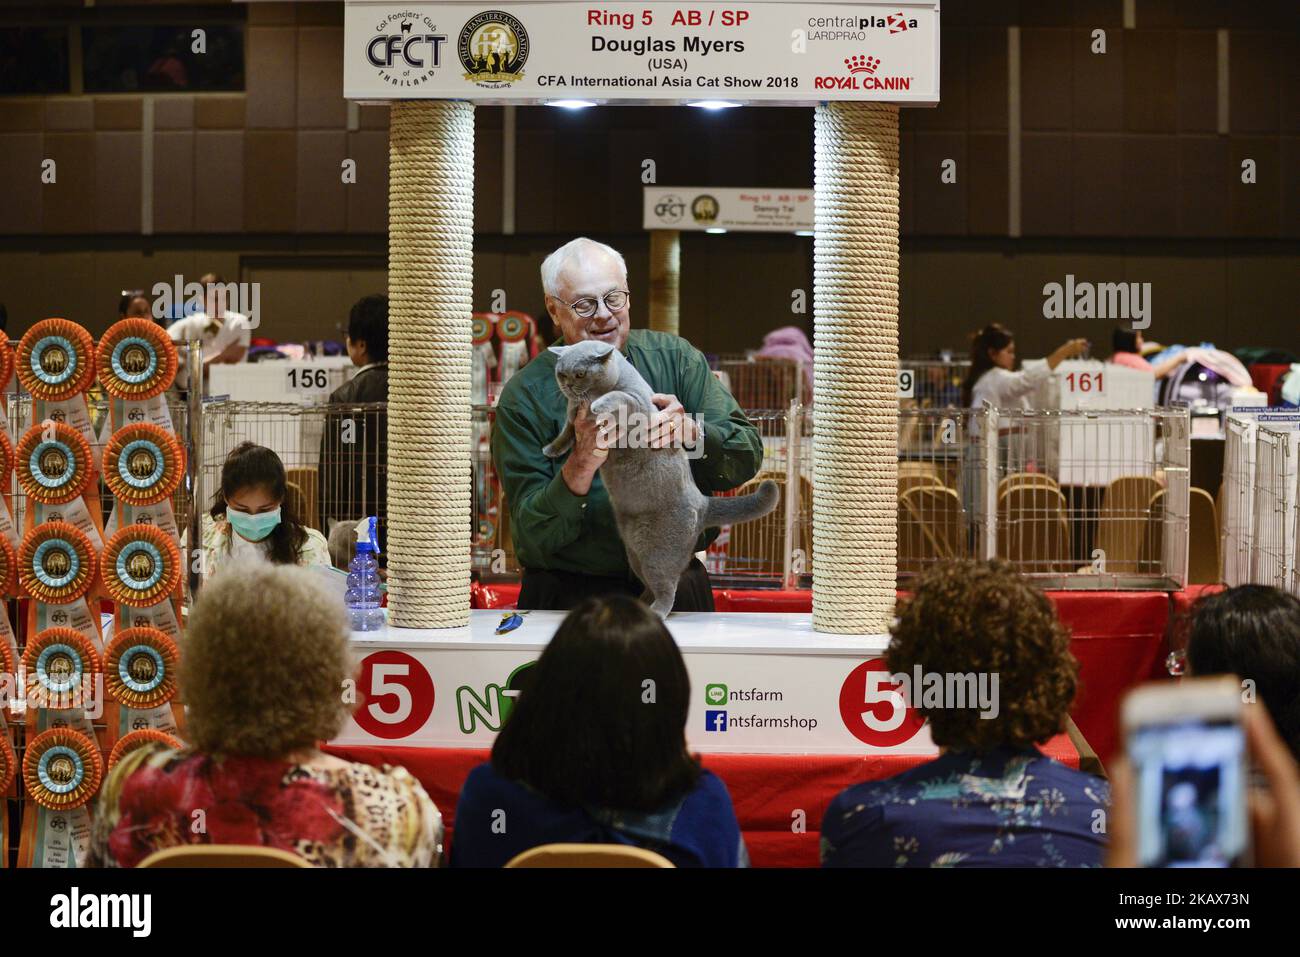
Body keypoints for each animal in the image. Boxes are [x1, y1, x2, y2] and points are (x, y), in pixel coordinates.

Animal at [543, 340, 774, 616]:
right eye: (561, 374)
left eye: (579, 374)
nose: (567, 385)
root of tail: (703, 503)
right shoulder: (572, 416)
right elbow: (566, 433)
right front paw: (551, 449)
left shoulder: (636, 402)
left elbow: (618, 396)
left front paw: (598, 404)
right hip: (636, 553)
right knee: (652, 585)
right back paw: (639, 606)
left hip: (656, 553)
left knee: (667, 588)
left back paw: (656, 612)